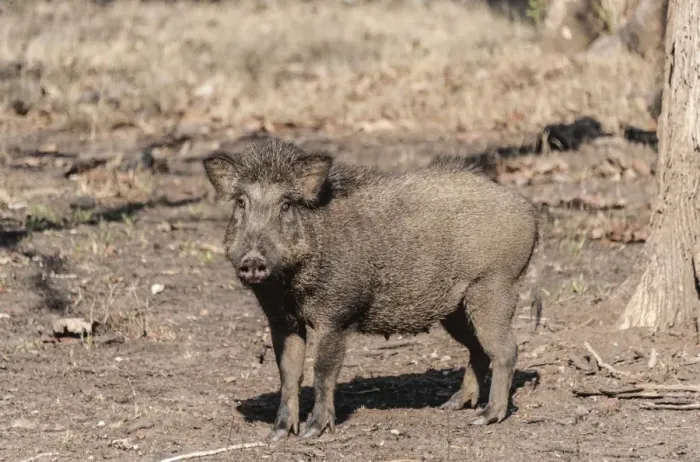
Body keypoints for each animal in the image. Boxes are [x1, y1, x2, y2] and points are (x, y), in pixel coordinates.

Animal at [203, 137, 540, 442]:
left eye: (286, 204)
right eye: (241, 203)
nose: (253, 261)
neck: (289, 284)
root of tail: (528, 210)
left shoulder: (336, 316)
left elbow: (323, 371)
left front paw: (312, 432)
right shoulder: (282, 321)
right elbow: (289, 374)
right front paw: (276, 435)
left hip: (495, 286)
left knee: (506, 349)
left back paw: (486, 418)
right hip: (455, 309)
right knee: (478, 350)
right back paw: (453, 406)